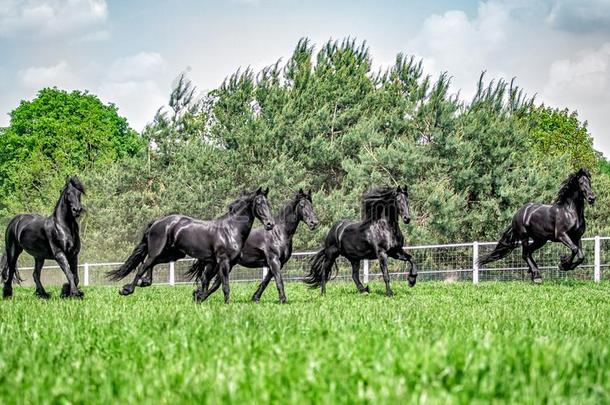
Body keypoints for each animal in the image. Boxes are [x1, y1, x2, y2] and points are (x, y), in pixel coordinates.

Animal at [107, 188, 274, 302]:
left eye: (269, 204)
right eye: (259, 203)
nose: (270, 224)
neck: (230, 229)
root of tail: (158, 222)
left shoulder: (216, 262)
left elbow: (208, 283)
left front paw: (198, 297)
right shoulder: (223, 262)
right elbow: (224, 286)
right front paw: (226, 305)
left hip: (174, 254)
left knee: (151, 263)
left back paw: (145, 282)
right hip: (158, 249)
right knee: (144, 266)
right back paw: (127, 289)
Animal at [185, 189, 318, 304]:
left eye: (311, 205)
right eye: (302, 205)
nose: (314, 223)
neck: (279, 233)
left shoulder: (277, 263)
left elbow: (266, 281)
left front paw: (255, 298)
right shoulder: (274, 260)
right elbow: (279, 280)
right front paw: (282, 300)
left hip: (227, 264)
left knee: (213, 283)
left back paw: (199, 297)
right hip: (214, 264)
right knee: (206, 280)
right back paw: (199, 297)